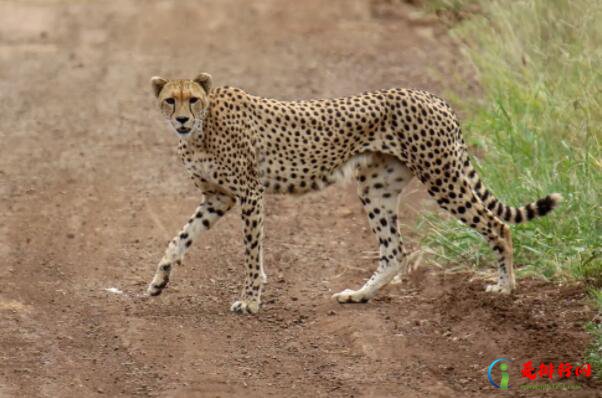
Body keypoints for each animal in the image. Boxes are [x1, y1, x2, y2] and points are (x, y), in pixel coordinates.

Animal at [145, 73, 556, 312]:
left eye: (193, 99)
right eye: (170, 100)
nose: (181, 119)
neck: (202, 128)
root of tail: (433, 97)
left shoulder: (248, 194)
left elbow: (250, 251)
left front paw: (249, 300)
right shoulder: (219, 198)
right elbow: (180, 238)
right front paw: (159, 281)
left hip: (442, 177)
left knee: (497, 226)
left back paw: (505, 286)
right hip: (377, 186)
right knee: (394, 251)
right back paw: (360, 295)